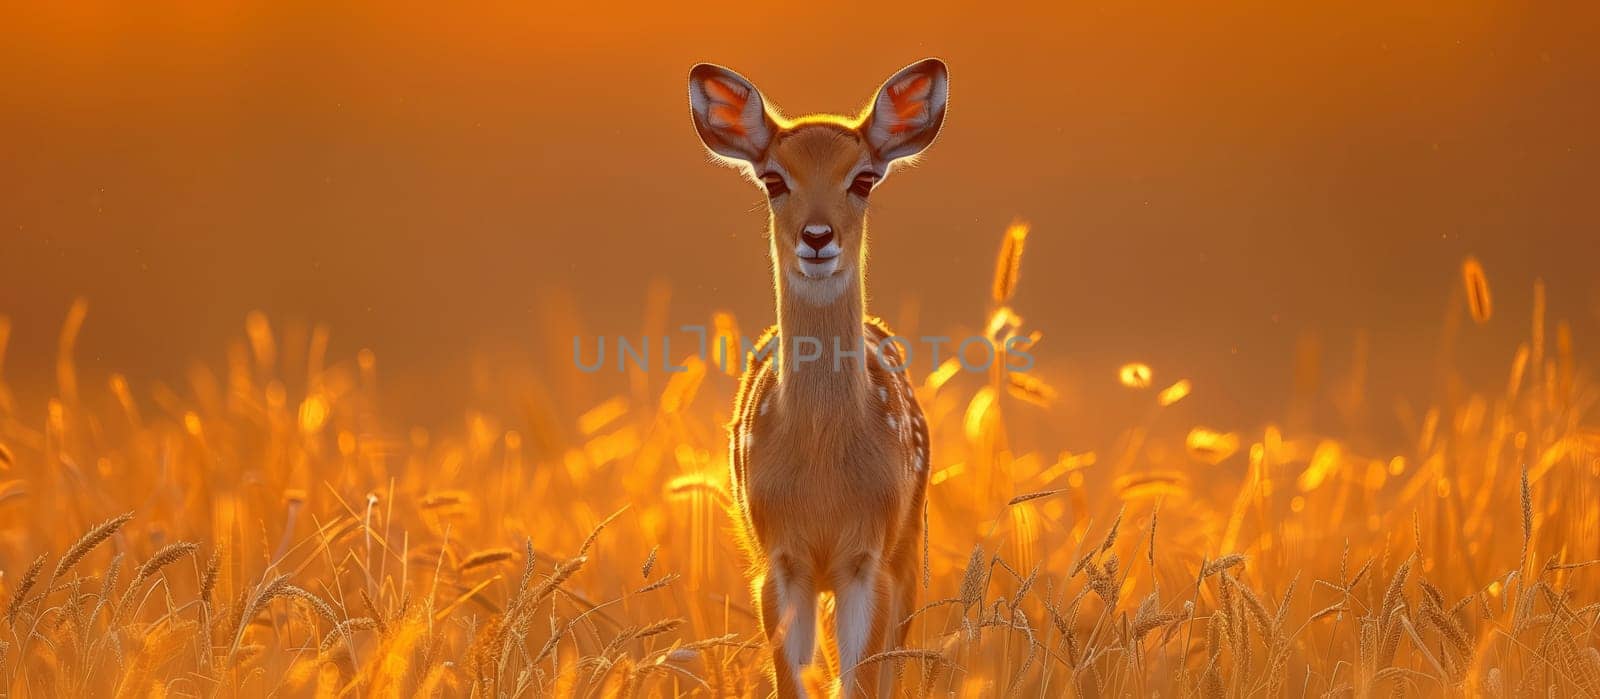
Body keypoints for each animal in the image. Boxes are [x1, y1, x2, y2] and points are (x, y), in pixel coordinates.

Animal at [691, 57, 947, 694]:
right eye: (773, 180)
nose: (817, 236)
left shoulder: (870, 557)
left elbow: (860, 681)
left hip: (910, 548)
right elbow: (794, 679)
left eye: (864, 179)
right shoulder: (779, 559)